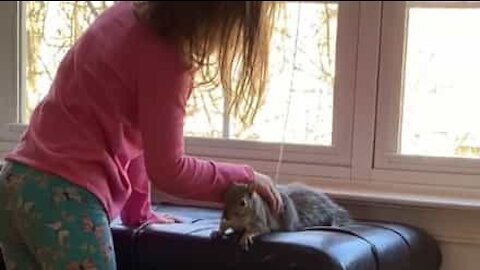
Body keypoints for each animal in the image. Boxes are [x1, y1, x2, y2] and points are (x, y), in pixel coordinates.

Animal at [214, 182, 352, 250]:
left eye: (243, 203)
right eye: (224, 198)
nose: (226, 215)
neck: (239, 219)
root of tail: (295, 221)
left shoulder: (260, 219)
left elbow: (259, 229)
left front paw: (246, 236)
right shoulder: (229, 222)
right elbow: (224, 225)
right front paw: (218, 231)